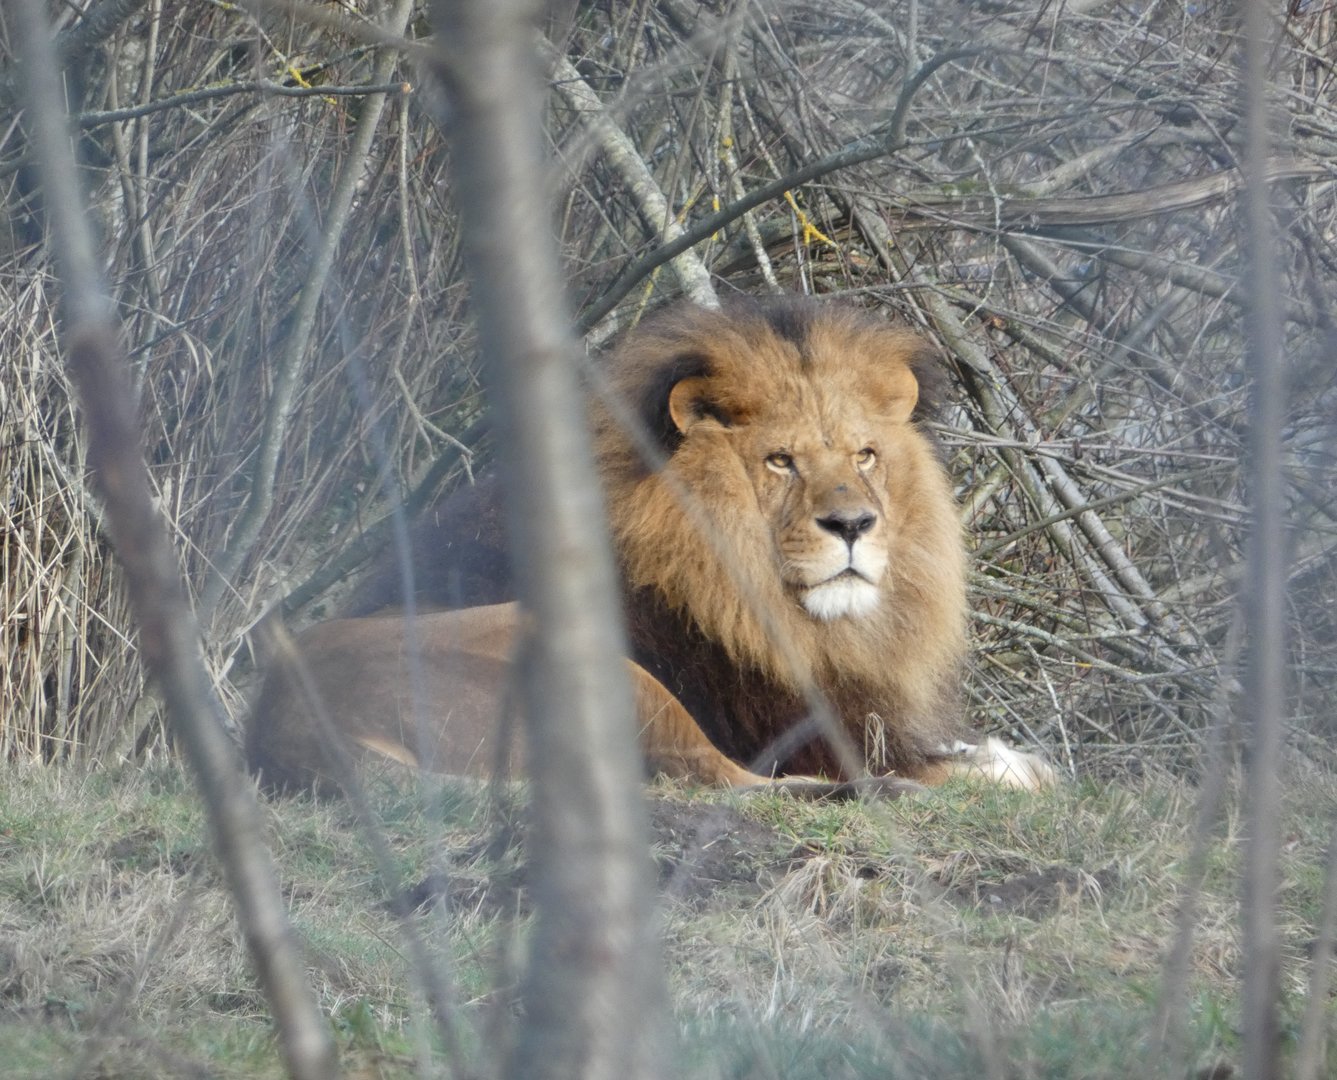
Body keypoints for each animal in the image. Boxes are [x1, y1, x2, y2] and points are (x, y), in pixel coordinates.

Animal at [247, 298, 1054, 795]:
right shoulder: (813, 735)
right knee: (734, 782)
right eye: (780, 461)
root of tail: (293, 733)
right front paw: (1005, 768)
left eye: (864, 455)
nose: (853, 525)